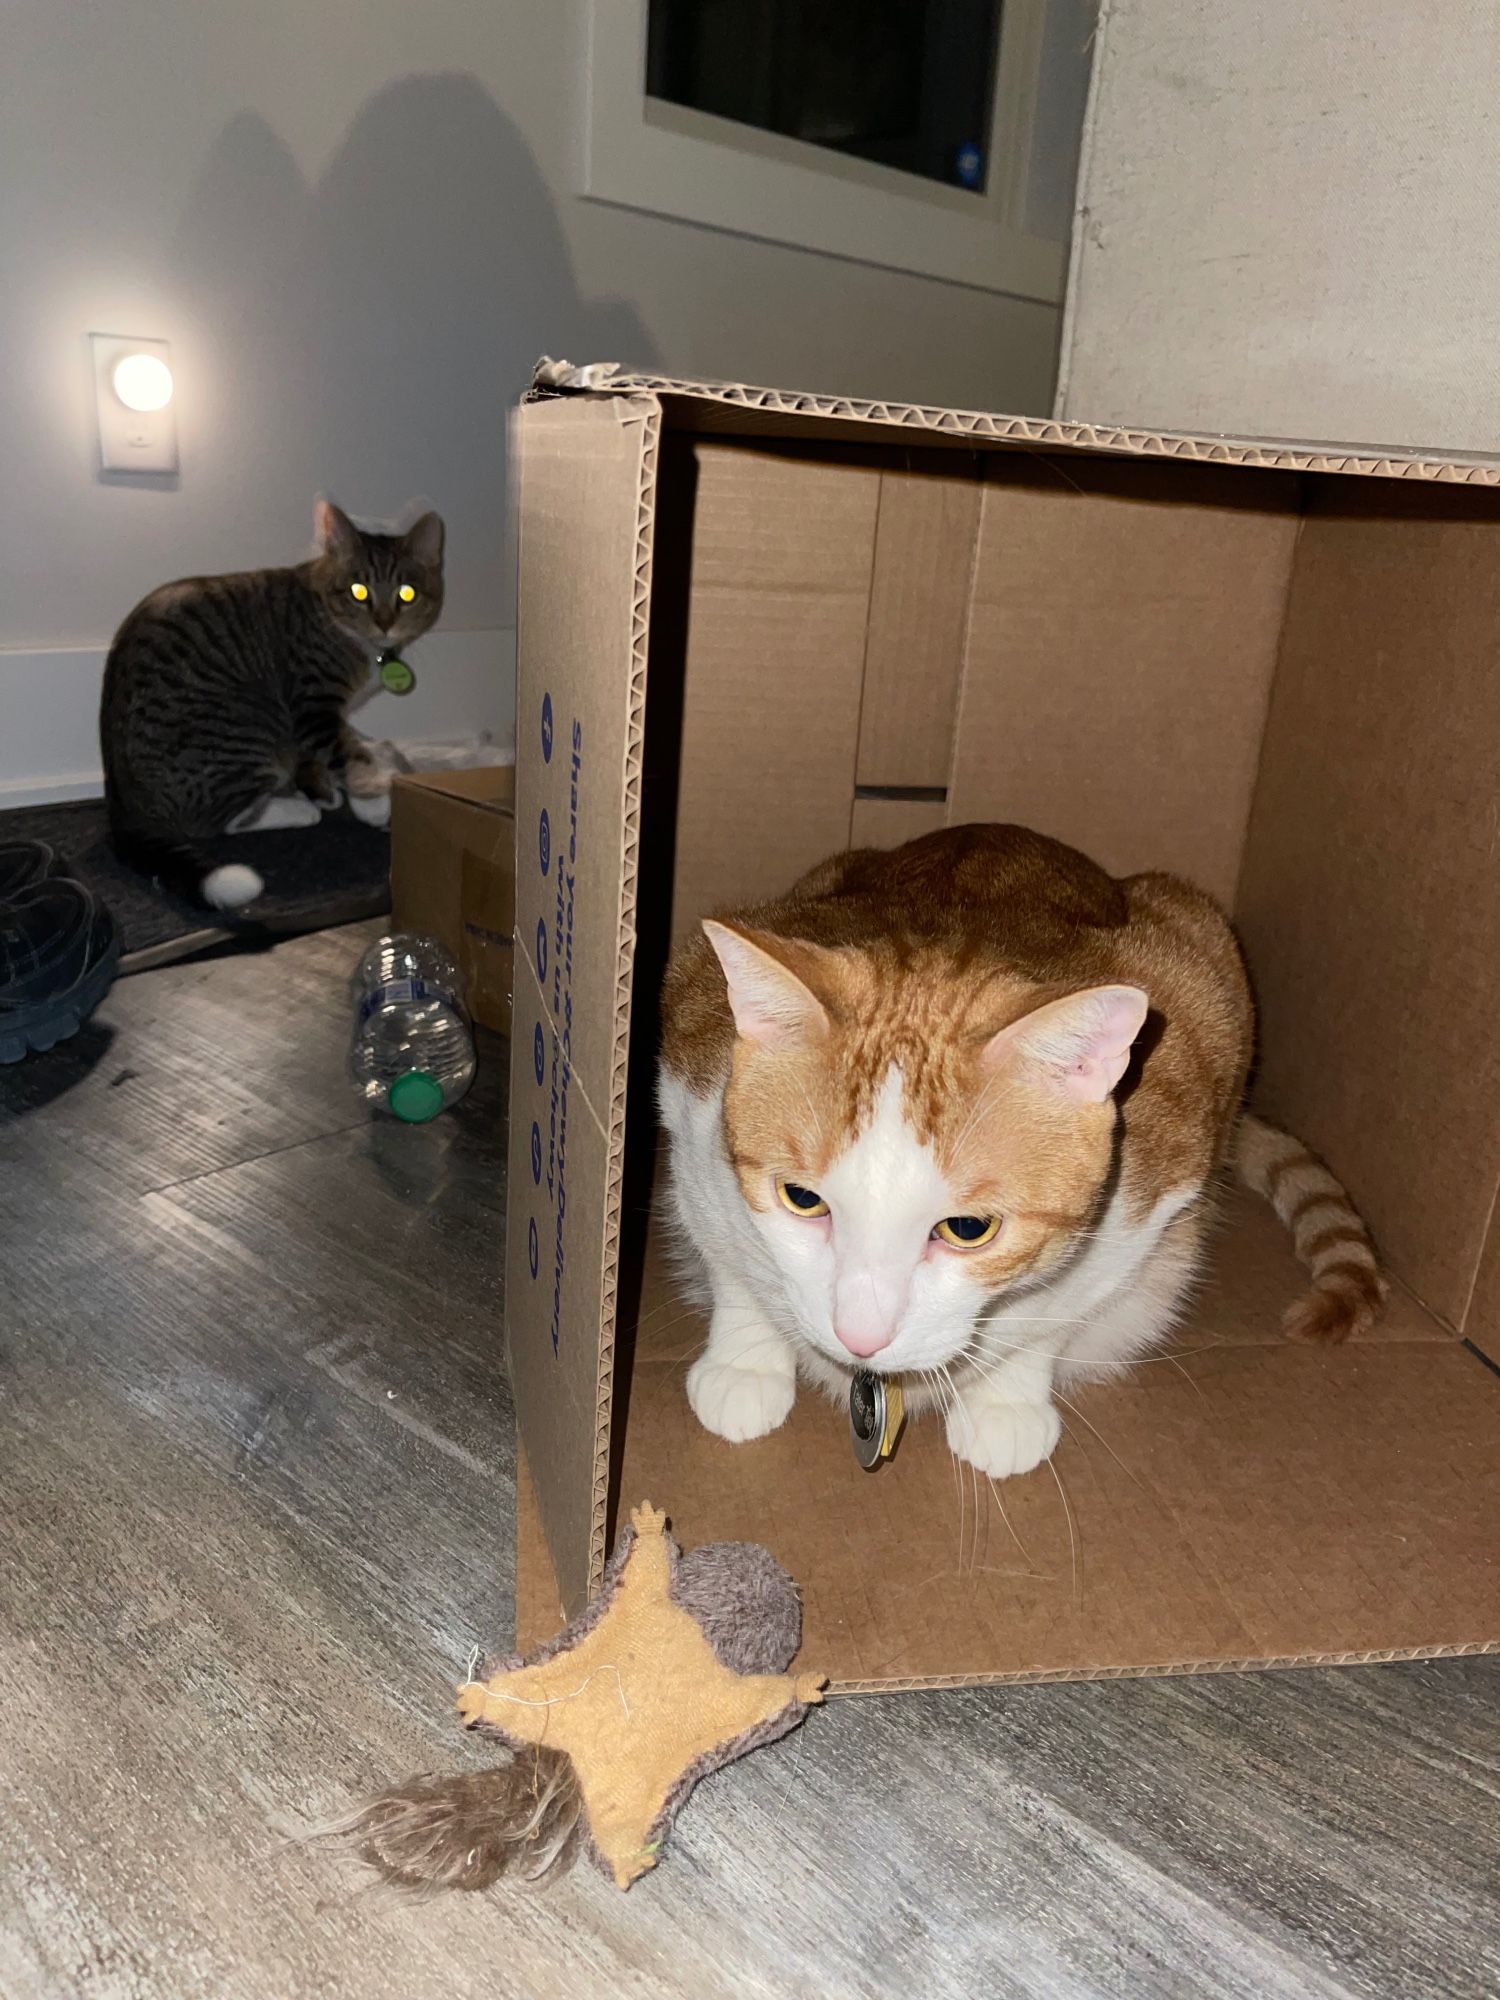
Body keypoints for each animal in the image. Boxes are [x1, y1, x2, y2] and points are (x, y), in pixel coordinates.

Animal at [97, 500, 440, 908]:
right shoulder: (312, 704)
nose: (385, 622)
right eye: (359, 591)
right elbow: (345, 752)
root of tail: (124, 806)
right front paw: (372, 802)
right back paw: (296, 809)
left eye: (407, 594)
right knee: (222, 820)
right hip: (245, 727)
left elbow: (328, 751)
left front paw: (328, 788)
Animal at [664, 820, 1392, 1480]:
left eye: (968, 1229)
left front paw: (1004, 1403)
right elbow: (730, 1259)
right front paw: (743, 1361)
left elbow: (1052, 1313)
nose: (860, 1338)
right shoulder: (687, 1108)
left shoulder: (1154, 1189)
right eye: (801, 1198)